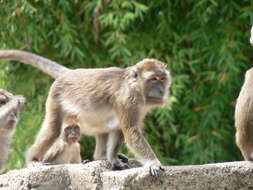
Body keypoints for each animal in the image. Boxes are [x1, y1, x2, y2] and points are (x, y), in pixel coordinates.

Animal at [0, 49, 172, 176]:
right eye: (153, 79)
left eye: (162, 79)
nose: (161, 90)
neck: (134, 87)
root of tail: (70, 73)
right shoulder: (127, 100)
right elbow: (131, 130)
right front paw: (153, 163)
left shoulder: (138, 105)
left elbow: (120, 129)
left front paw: (112, 159)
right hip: (56, 96)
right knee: (53, 129)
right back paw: (33, 159)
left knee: (107, 125)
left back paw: (102, 157)